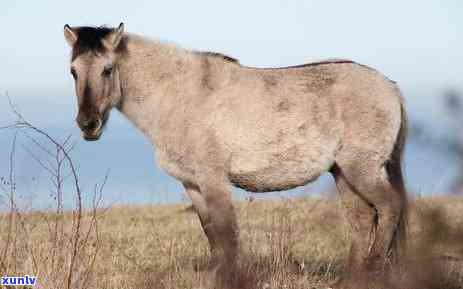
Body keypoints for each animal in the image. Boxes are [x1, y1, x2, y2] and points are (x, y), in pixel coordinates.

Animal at [63, 23, 408, 288]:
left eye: (108, 69)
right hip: (342, 172)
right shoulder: (193, 184)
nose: (88, 125)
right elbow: (213, 235)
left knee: (389, 206)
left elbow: (227, 235)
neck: (177, 95)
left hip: (361, 168)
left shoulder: (214, 180)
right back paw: (351, 279)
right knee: (362, 220)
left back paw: (373, 269)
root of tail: (390, 86)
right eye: (73, 72)